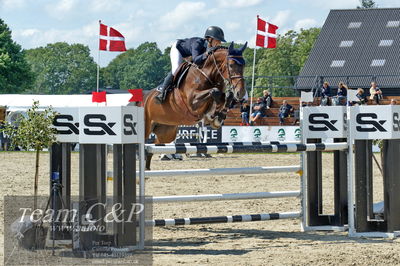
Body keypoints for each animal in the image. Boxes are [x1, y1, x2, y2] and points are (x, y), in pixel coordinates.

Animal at [142, 41, 245, 170]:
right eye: (231, 65)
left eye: (244, 65)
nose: (241, 93)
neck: (206, 74)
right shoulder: (192, 103)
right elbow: (214, 92)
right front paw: (214, 116)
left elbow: (226, 96)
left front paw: (218, 117)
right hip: (147, 127)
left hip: (166, 132)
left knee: (153, 146)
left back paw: (148, 167)